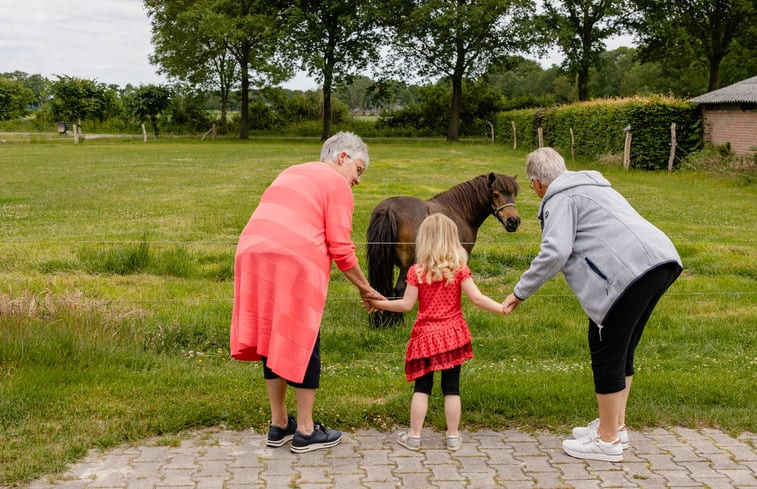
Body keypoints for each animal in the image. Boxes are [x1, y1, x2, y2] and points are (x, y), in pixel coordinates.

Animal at [366, 173, 520, 328]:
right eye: (495, 194)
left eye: (514, 194)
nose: (513, 221)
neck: (459, 211)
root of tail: (389, 208)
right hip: (407, 265)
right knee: (399, 288)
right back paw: (398, 323)